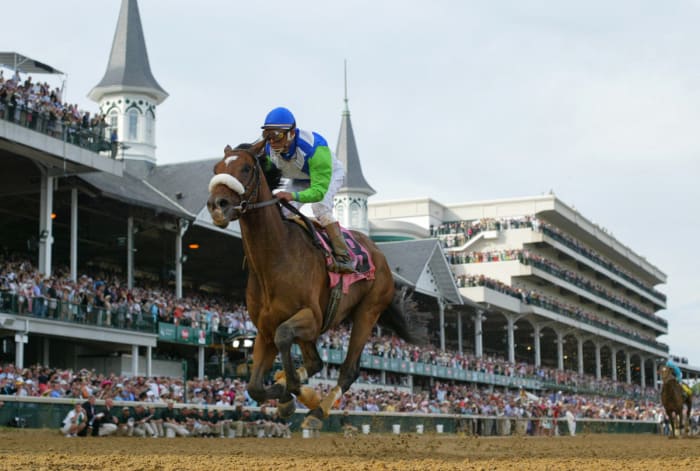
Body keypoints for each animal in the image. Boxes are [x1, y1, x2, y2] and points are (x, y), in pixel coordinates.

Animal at [202, 142, 422, 426]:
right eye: (216, 168)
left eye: (247, 168)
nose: (217, 205)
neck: (275, 258)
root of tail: (381, 256)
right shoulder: (265, 328)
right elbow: (254, 386)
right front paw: (286, 396)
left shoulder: (312, 318)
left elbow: (284, 337)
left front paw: (297, 393)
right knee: (316, 362)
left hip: (368, 311)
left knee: (349, 369)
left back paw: (318, 411)